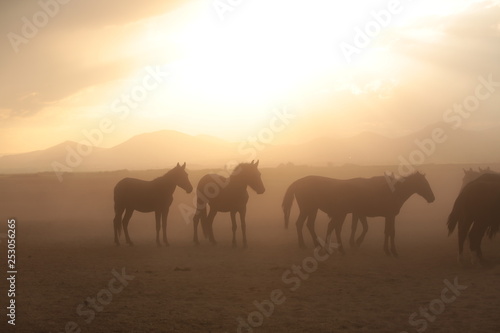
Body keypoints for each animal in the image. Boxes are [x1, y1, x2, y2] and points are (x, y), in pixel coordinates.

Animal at [284, 171, 436, 254]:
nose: (432, 198)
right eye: (424, 183)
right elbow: (378, 230)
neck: (391, 191)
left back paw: (316, 244)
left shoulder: (365, 213)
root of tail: (297, 182)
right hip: (309, 208)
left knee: (309, 224)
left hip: (313, 209)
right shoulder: (378, 214)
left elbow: (370, 228)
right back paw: (305, 244)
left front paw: (356, 242)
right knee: (302, 224)